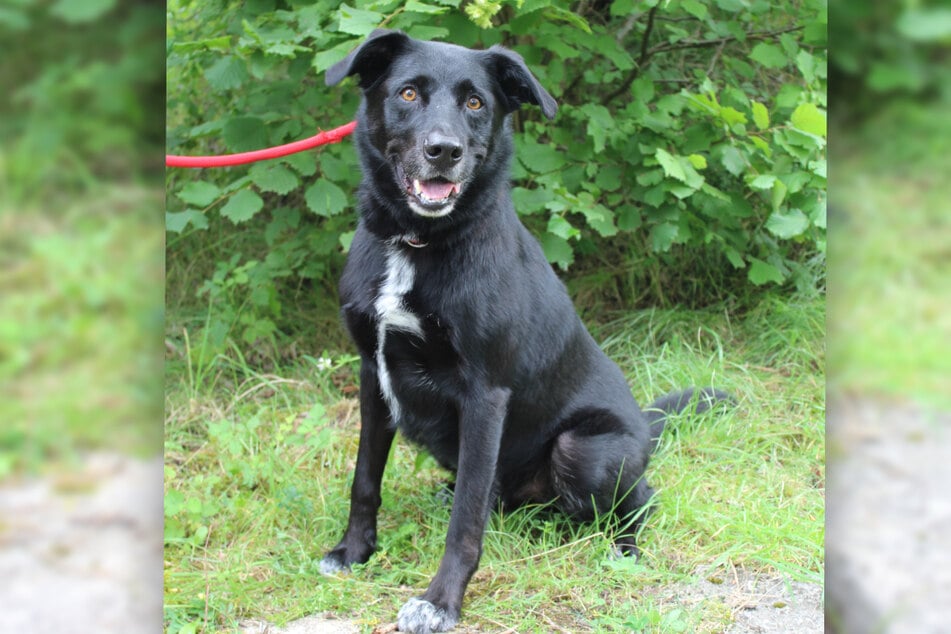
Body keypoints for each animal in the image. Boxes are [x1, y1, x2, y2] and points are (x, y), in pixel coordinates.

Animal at [322, 30, 728, 632]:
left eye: (475, 103)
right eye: (409, 93)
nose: (445, 151)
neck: (416, 244)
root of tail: (644, 426)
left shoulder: (485, 394)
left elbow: (465, 523)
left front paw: (441, 601)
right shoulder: (374, 374)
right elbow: (364, 480)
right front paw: (354, 552)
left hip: (583, 449)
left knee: (640, 499)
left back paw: (623, 550)